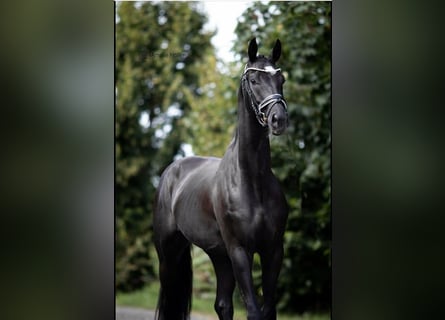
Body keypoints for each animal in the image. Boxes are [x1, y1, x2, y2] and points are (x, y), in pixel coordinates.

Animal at [154, 38, 290, 320]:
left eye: (281, 79)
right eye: (253, 80)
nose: (278, 119)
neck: (251, 182)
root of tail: (172, 170)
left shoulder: (273, 250)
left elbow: (268, 309)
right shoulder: (240, 250)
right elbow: (254, 311)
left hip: (218, 255)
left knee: (223, 305)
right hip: (168, 253)